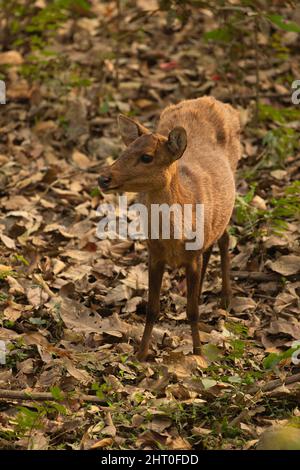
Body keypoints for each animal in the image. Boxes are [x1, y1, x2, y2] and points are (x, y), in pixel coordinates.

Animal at [98, 94, 241, 360]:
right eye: (124, 151)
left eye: (147, 157)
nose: (103, 178)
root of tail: (215, 101)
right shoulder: (154, 254)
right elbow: (152, 309)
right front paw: (141, 355)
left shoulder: (191, 256)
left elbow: (192, 311)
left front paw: (198, 353)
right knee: (213, 245)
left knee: (225, 238)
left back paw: (226, 298)